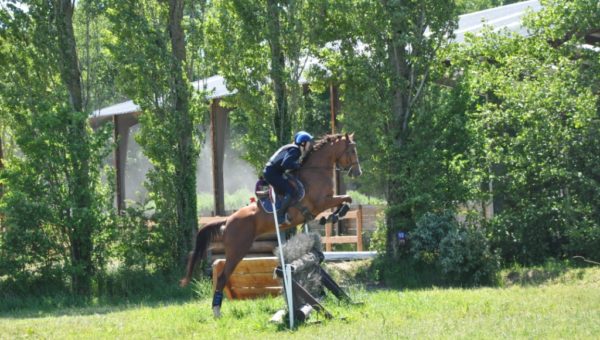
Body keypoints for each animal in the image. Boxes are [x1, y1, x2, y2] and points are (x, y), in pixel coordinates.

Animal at [179, 132, 360, 316]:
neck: (316, 172)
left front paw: (332, 217)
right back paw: (216, 311)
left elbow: (345, 200)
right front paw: (333, 216)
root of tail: (228, 220)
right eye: (352, 150)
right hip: (237, 250)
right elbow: (347, 198)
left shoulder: (325, 202)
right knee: (223, 276)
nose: (358, 172)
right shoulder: (321, 202)